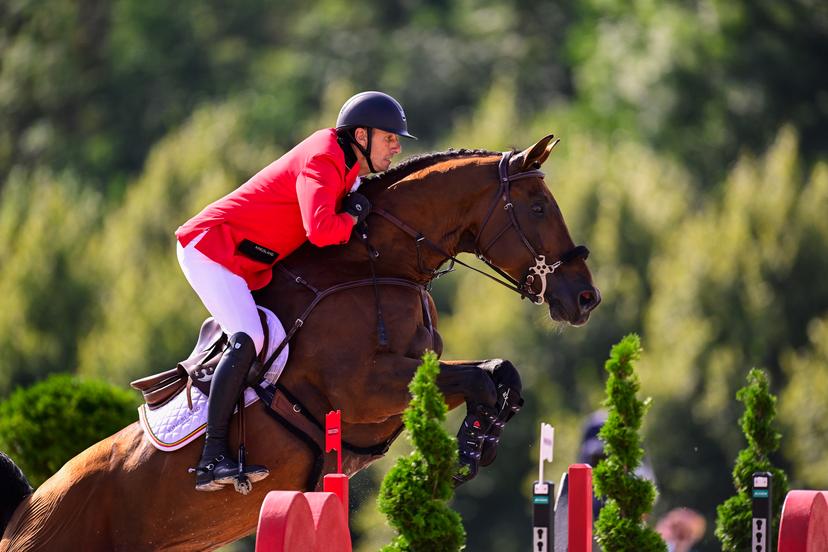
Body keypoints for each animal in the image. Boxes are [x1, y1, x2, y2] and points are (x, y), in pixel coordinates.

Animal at [0, 134, 600, 551]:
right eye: (539, 208)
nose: (586, 298)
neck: (378, 264)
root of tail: (23, 513)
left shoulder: (413, 378)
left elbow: (498, 372)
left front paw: (481, 438)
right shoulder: (367, 391)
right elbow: (480, 375)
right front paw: (476, 443)